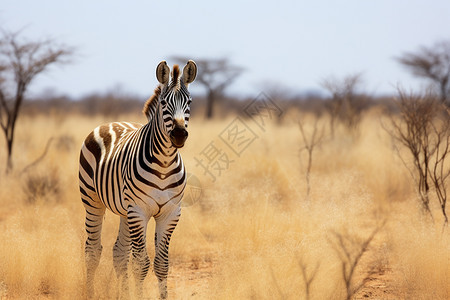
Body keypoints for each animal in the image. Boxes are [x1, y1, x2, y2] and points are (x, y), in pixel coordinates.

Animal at [78, 59, 197, 298]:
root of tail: (111, 122)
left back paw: (123, 294)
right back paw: (91, 293)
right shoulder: (139, 211)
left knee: (119, 253)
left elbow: (161, 264)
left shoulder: (170, 213)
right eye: (164, 103)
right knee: (92, 251)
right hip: (93, 201)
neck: (164, 163)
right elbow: (141, 264)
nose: (179, 134)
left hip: (126, 211)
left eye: (189, 102)